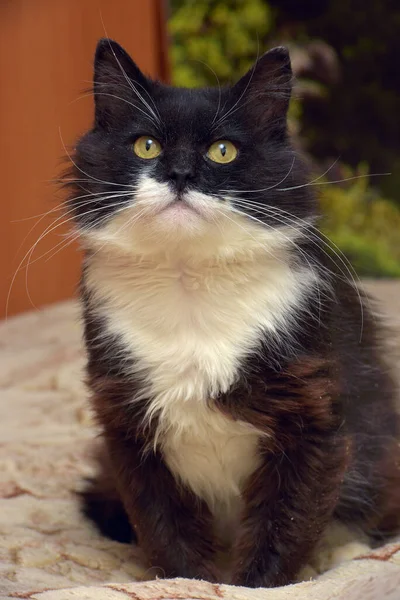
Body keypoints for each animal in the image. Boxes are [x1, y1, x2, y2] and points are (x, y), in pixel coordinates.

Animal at [66, 39, 400, 588]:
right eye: (146, 147)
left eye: (223, 150)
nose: (181, 174)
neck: (189, 284)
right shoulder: (127, 422)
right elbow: (164, 526)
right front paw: (187, 583)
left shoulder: (313, 413)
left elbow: (287, 523)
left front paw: (254, 585)